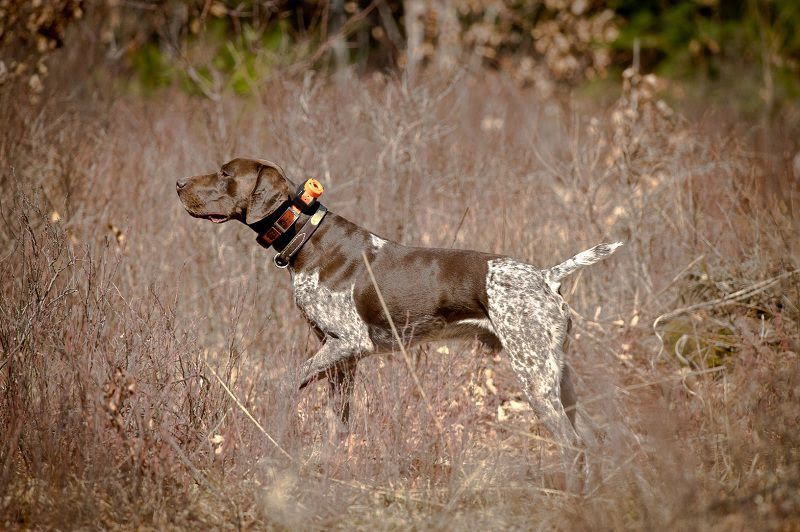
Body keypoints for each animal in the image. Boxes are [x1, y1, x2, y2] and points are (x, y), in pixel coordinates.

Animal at [178, 157, 620, 486]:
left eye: (225, 174)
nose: (179, 183)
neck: (305, 235)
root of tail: (547, 276)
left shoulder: (349, 343)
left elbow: (286, 382)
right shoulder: (342, 359)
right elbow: (338, 424)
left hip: (535, 376)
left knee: (573, 444)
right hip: (556, 375)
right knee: (593, 437)